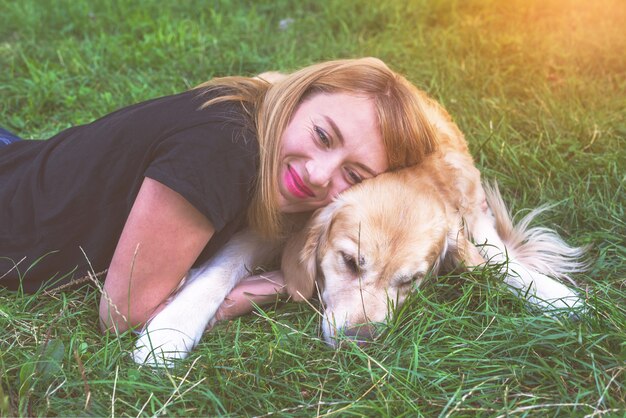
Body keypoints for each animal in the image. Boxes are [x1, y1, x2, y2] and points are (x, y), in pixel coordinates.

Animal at [132, 81, 584, 366]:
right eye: (349, 262)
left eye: (410, 281)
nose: (359, 343)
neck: (416, 170)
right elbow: (223, 268)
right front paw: (171, 329)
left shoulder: (471, 210)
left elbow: (495, 258)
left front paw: (556, 296)